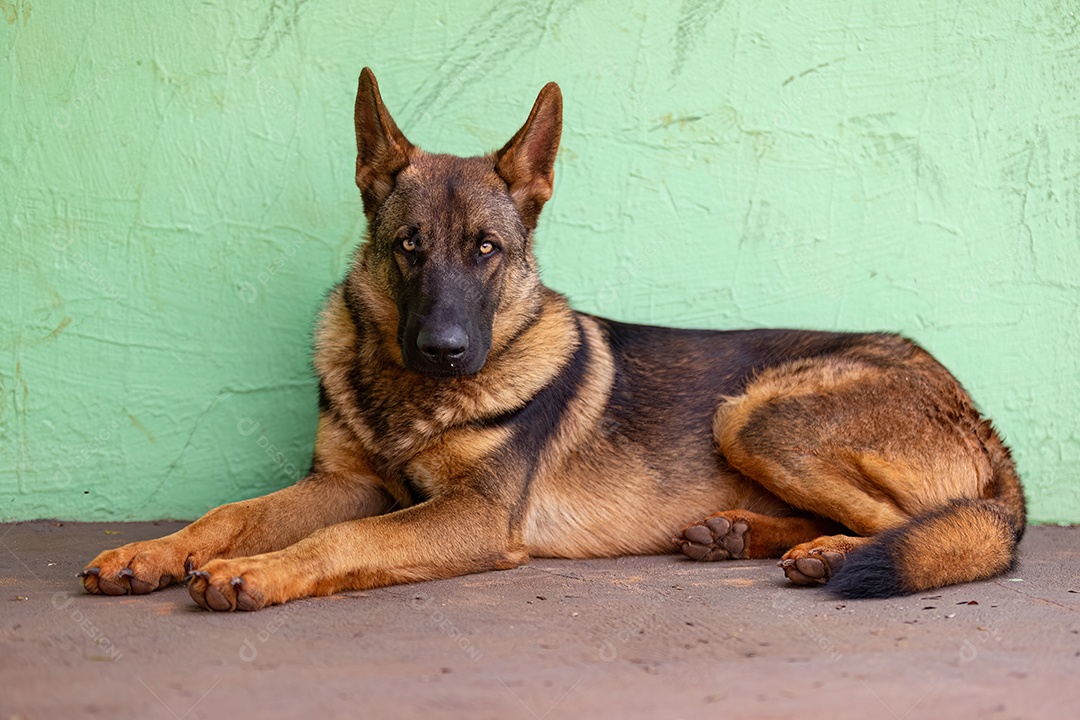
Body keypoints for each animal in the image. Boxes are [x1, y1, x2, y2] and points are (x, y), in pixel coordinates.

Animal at [79, 67, 1023, 613]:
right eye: (408, 247)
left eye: (485, 251)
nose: (443, 349)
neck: (410, 398)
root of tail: (975, 412)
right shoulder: (345, 485)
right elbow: (231, 514)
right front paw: (149, 553)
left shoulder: (472, 517)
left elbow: (339, 543)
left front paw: (261, 573)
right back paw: (740, 536)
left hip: (751, 412)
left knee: (947, 526)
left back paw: (831, 554)